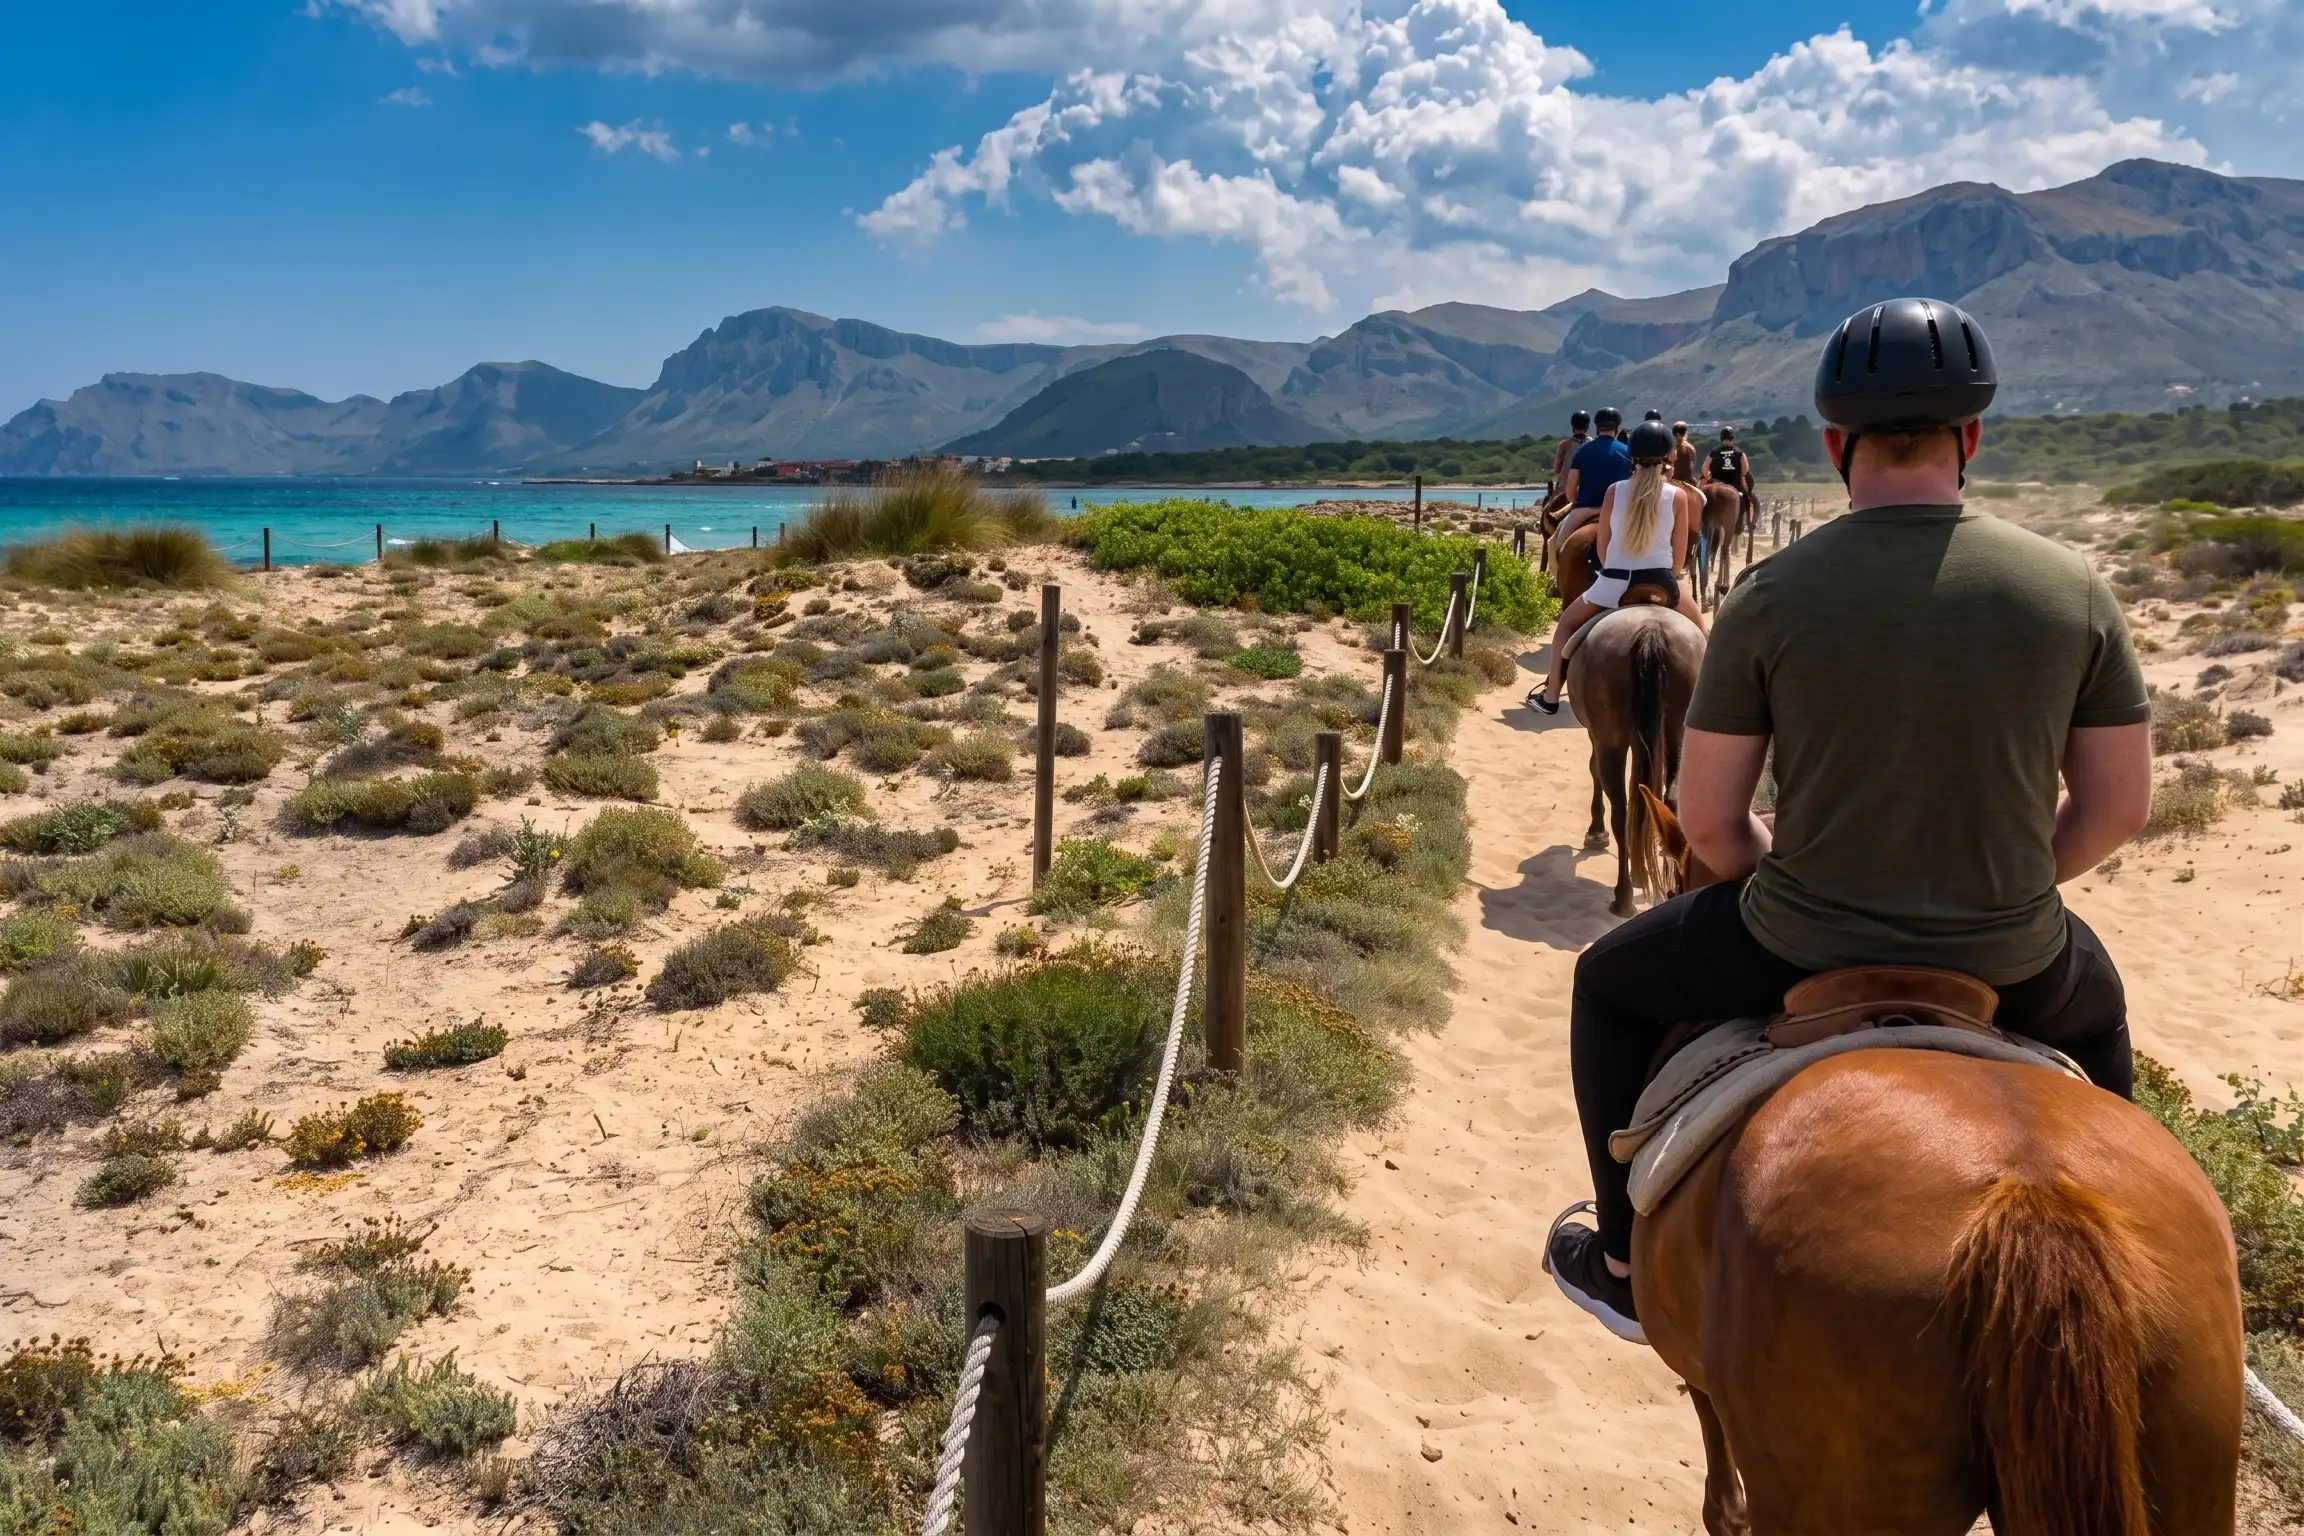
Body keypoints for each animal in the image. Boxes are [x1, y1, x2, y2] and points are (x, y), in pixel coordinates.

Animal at [1562, 605, 1704, 916]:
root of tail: (1651, 631)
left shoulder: (1598, 736)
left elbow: (1595, 772)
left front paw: (1596, 832)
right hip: (1678, 733)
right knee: (1670, 800)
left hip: (1611, 742)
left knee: (1621, 811)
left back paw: (1623, 897)